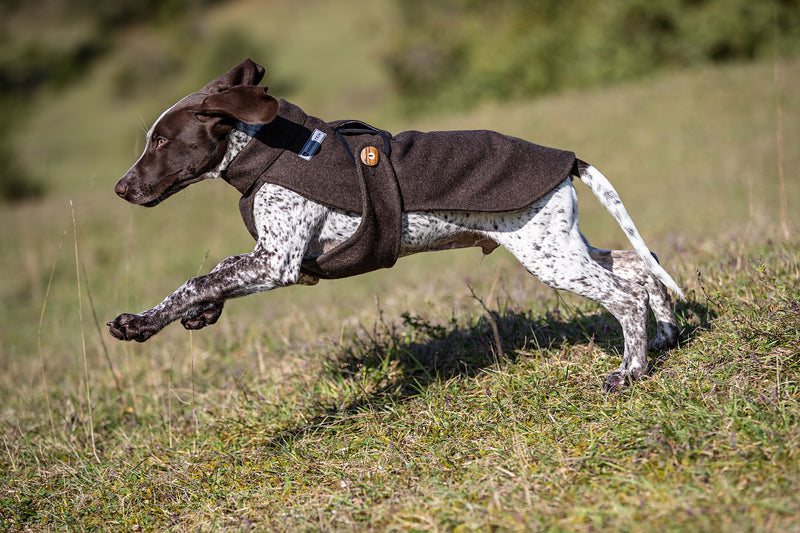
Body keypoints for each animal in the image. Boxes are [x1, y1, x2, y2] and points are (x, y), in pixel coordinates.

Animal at [108, 59, 680, 390]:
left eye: (161, 142)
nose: (120, 188)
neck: (266, 154)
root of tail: (567, 160)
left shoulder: (278, 262)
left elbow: (198, 278)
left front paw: (141, 323)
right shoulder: (274, 260)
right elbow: (217, 273)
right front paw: (201, 314)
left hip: (550, 255)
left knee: (626, 295)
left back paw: (630, 371)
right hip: (559, 244)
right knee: (641, 266)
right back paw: (666, 336)